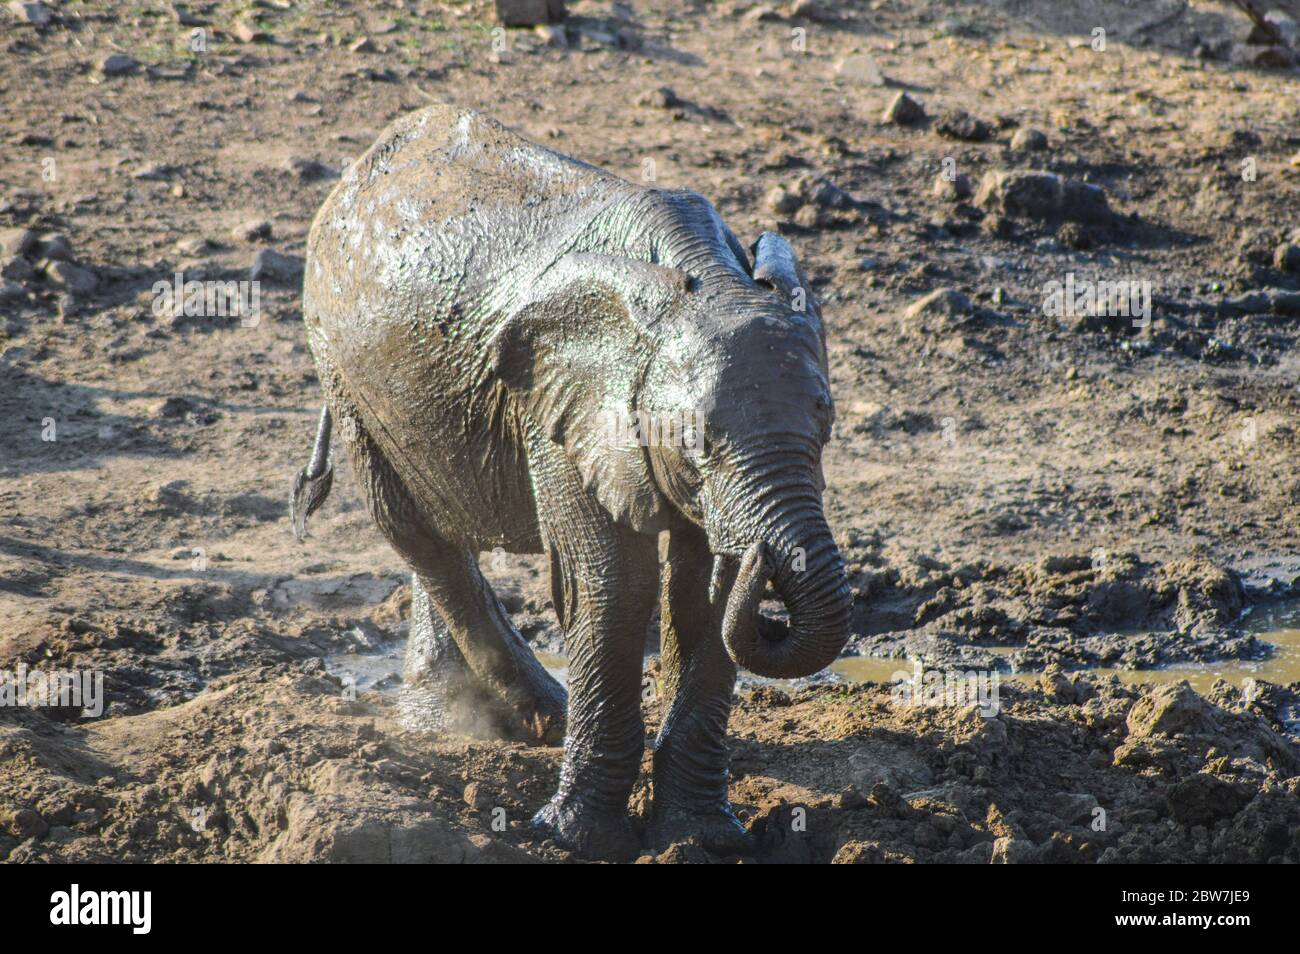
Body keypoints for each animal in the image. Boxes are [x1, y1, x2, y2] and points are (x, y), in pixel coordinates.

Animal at [291, 105, 853, 860]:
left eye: (825, 425)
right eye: (698, 440)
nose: (764, 560)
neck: (699, 276)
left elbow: (699, 599)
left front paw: (702, 838)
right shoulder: (562, 409)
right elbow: (614, 586)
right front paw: (576, 837)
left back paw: (452, 719)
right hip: (343, 373)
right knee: (415, 530)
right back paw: (537, 721)